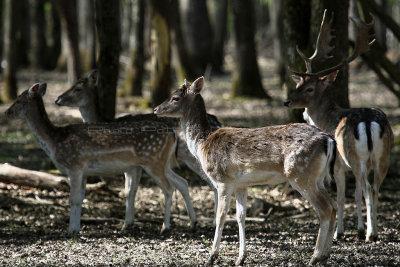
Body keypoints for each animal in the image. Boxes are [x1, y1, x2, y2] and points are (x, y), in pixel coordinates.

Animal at [3, 83, 197, 234]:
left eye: (19, 99)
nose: (7, 112)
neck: (55, 140)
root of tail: (172, 133)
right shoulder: (83, 172)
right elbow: (80, 199)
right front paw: (76, 228)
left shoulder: (74, 166)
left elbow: (73, 199)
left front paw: (71, 230)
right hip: (162, 162)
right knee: (182, 182)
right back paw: (191, 223)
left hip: (154, 160)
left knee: (169, 188)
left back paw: (165, 227)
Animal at [54, 69, 222, 220]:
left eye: (77, 88)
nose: (57, 99)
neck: (103, 121)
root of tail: (217, 122)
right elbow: (132, 190)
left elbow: (129, 189)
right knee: (186, 183)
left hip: (192, 158)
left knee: (212, 185)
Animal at [153, 77, 338, 266]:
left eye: (175, 97)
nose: (155, 109)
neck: (202, 144)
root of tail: (329, 140)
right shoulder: (241, 184)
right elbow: (240, 216)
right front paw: (241, 258)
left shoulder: (222, 180)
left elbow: (220, 216)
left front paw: (212, 256)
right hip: (318, 178)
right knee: (334, 206)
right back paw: (325, 254)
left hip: (300, 174)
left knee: (325, 209)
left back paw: (315, 256)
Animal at [284, 9, 394, 243]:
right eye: (299, 84)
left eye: (309, 88)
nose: (287, 101)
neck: (327, 119)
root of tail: (368, 122)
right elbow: (357, 194)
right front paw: (359, 228)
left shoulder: (337, 165)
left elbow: (343, 195)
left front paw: (341, 232)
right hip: (382, 155)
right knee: (375, 187)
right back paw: (373, 231)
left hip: (352, 155)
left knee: (368, 188)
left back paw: (370, 234)